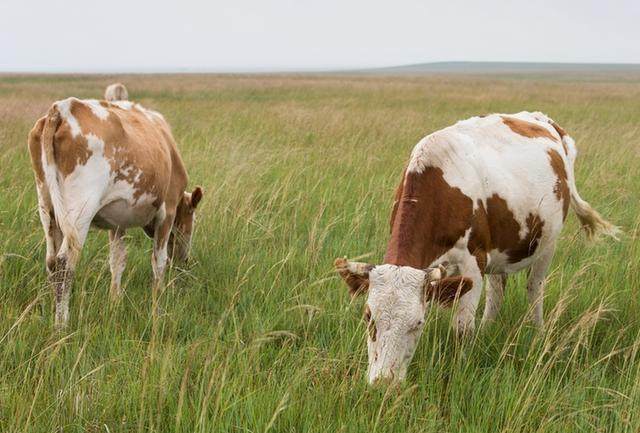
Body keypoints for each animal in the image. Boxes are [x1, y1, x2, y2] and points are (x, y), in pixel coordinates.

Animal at [26, 97, 202, 328]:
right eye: (191, 222)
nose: (184, 261)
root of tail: (62, 108)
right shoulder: (168, 211)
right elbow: (159, 262)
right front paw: (158, 307)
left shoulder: (117, 223)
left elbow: (117, 260)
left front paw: (114, 301)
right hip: (80, 210)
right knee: (64, 263)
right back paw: (61, 324)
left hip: (46, 205)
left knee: (51, 260)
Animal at [336, 110, 620, 382]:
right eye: (368, 317)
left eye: (417, 323)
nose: (383, 382)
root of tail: (543, 119)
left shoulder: (473, 263)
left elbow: (462, 328)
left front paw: (460, 367)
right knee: (497, 291)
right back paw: (487, 330)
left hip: (546, 243)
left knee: (534, 289)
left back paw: (538, 333)